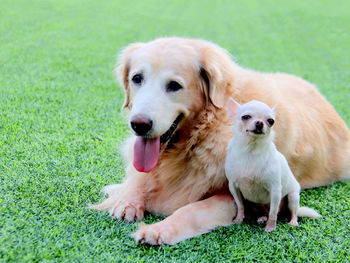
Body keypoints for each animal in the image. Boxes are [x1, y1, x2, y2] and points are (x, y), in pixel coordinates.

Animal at [224, 99, 320, 233]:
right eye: (245, 117)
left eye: (271, 121)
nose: (259, 123)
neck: (251, 150)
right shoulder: (233, 186)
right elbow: (240, 205)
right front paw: (238, 220)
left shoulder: (275, 190)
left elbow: (273, 212)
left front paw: (270, 227)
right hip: (256, 203)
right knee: (268, 210)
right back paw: (262, 217)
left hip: (292, 197)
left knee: (290, 211)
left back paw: (293, 221)